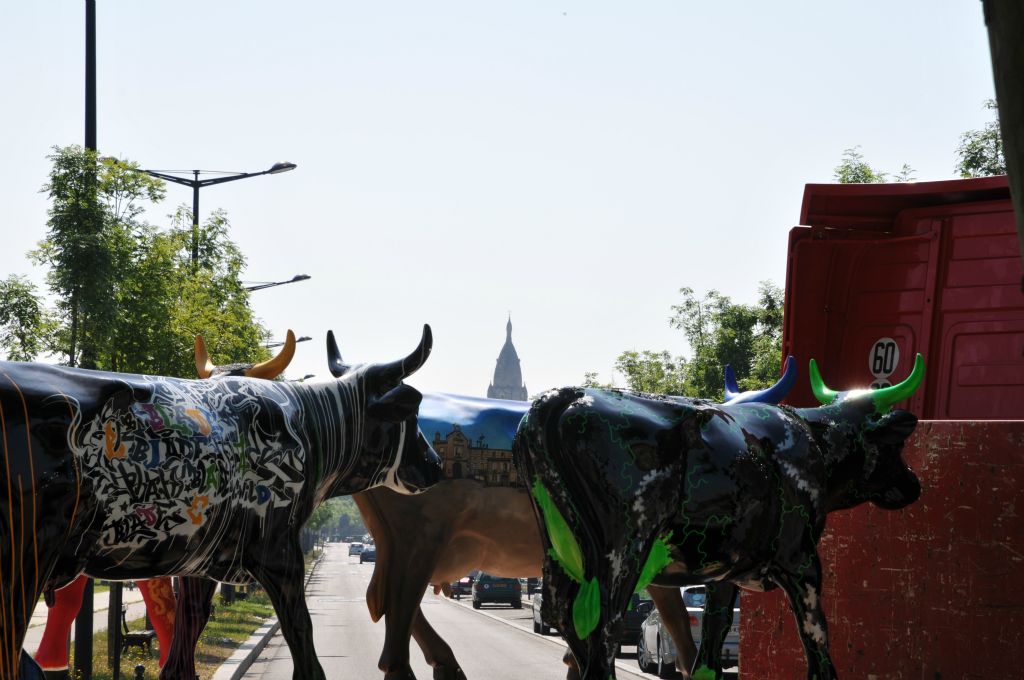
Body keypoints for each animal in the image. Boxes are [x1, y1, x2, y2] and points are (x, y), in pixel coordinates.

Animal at [0, 327, 440, 675]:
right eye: (411, 414)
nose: (435, 465)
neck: (304, 425)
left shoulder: (198, 563)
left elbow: (184, 642)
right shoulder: (280, 552)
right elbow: (301, 633)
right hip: (25, 560)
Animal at [516, 356, 925, 680]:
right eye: (895, 445)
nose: (914, 484)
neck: (812, 442)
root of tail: (566, 396)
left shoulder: (723, 573)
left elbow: (713, 637)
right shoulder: (802, 560)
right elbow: (816, 634)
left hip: (561, 548)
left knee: (563, 616)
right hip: (622, 549)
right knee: (602, 627)